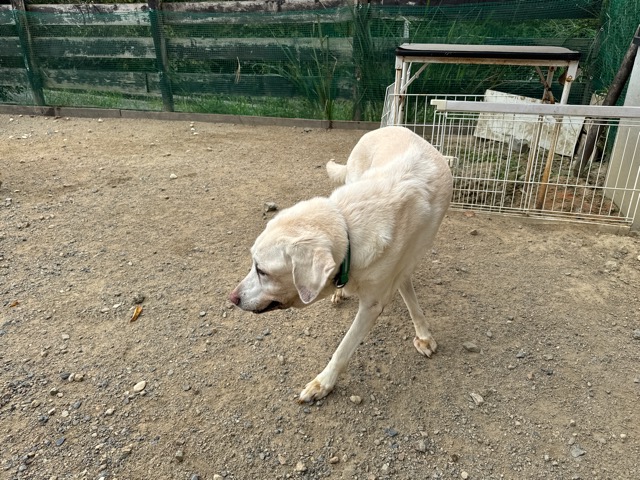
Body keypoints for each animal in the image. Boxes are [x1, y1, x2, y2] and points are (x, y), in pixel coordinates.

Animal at [229, 126, 453, 402]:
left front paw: (322, 383)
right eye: (254, 265)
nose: (232, 298)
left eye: (262, 271)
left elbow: (344, 348)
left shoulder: (374, 301)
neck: (347, 230)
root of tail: (388, 126)